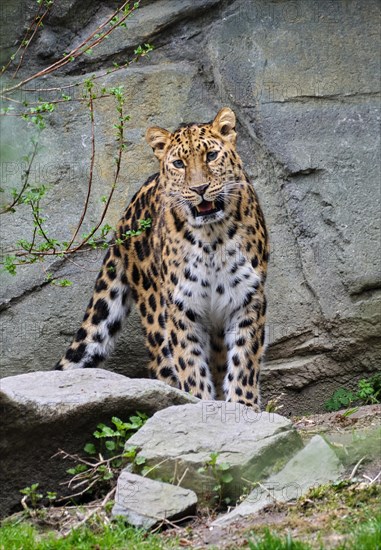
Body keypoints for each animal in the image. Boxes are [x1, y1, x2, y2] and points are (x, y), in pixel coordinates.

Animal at [55, 108, 270, 410]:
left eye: (211, 156)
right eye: (179, 163)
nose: (200, 188)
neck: (212, 238)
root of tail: (123, 219)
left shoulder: (247, 298)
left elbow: (244, 360)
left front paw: (243, 406)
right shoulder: (182, 306)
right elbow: (190, 363)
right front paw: (199, 404)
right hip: (155, 311)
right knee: (163, 365)